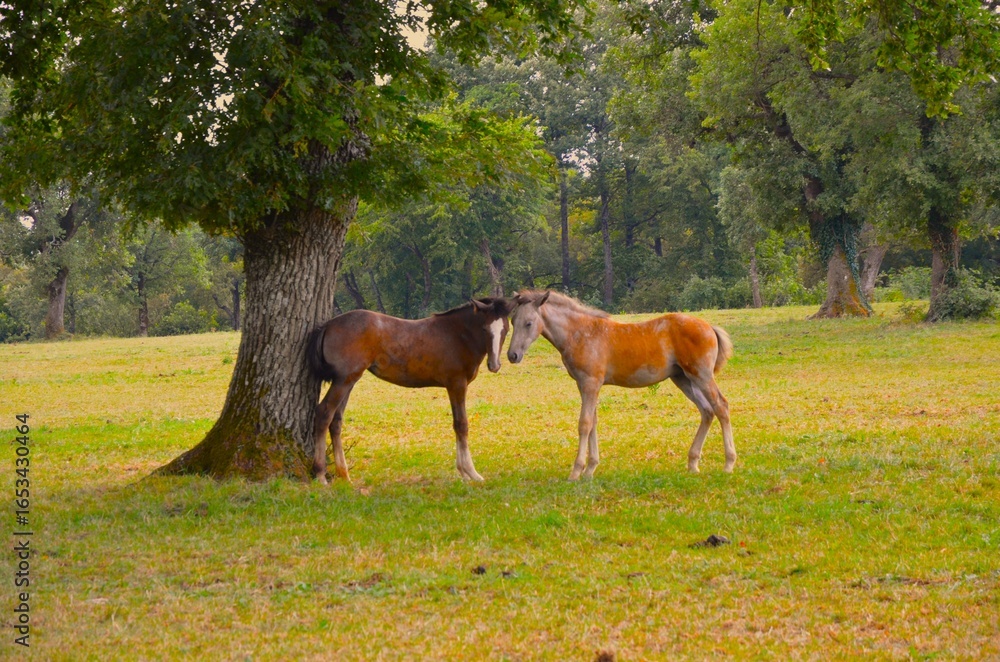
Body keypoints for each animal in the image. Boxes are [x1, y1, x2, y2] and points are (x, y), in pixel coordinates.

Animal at [307, 297, 514, 484]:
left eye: (505, 329)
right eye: (484, 328)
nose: (494, 365)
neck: (457, 335)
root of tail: (329, 325)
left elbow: (457, 425)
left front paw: (464, 472)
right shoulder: (456, 384)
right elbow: (461, 425)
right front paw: (471, 473)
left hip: (348, 380)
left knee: (336, 420)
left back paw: (344, 475)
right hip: (343, 381)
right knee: (324, 413)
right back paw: (320, 474)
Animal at [506, 290, 735, 480]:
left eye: (528, 323)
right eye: (513, 321)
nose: (512, 355)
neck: (579, 333)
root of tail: (709, 327)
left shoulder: (590, 383)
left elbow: (584, 423)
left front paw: (576, 471)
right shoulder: (585, 385)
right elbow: (593, 422)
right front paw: (590, 469)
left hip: (701, 376)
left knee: (721, 406)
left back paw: (728, 463)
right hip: (683, 379)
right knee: (706, 411)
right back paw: (693, 463)